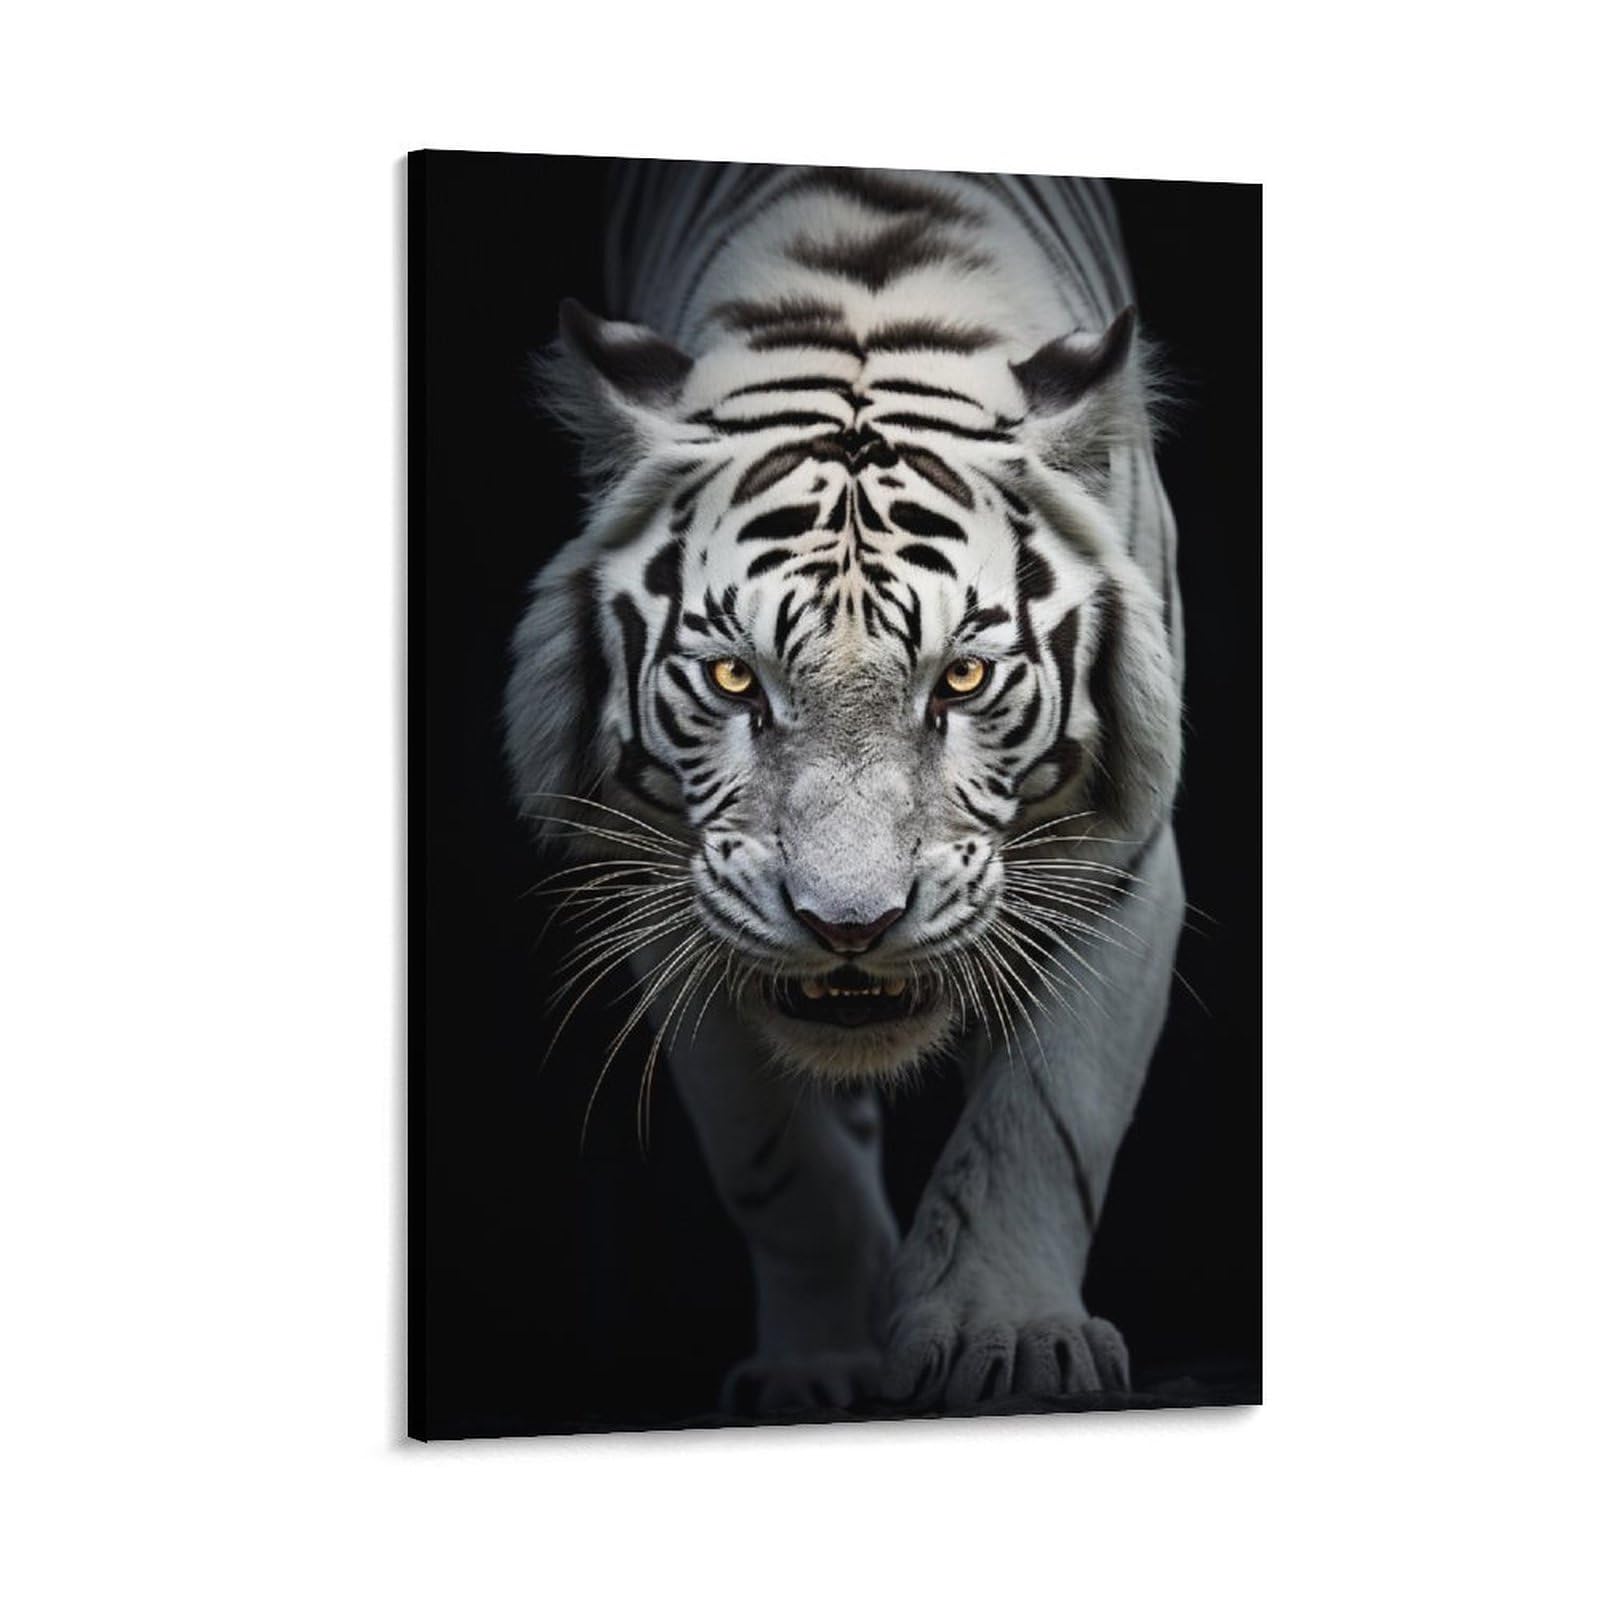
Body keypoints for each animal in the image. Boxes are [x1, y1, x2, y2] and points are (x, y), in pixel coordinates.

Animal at [504, 161, 1184, 1416]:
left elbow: (1046, 1117)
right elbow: (779, 1159)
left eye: (961, 676)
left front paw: (1010, 1341)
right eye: (735, 676)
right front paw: (825, 1366)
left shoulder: (1120, 863)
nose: (850, 926)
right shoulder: (662, 885)